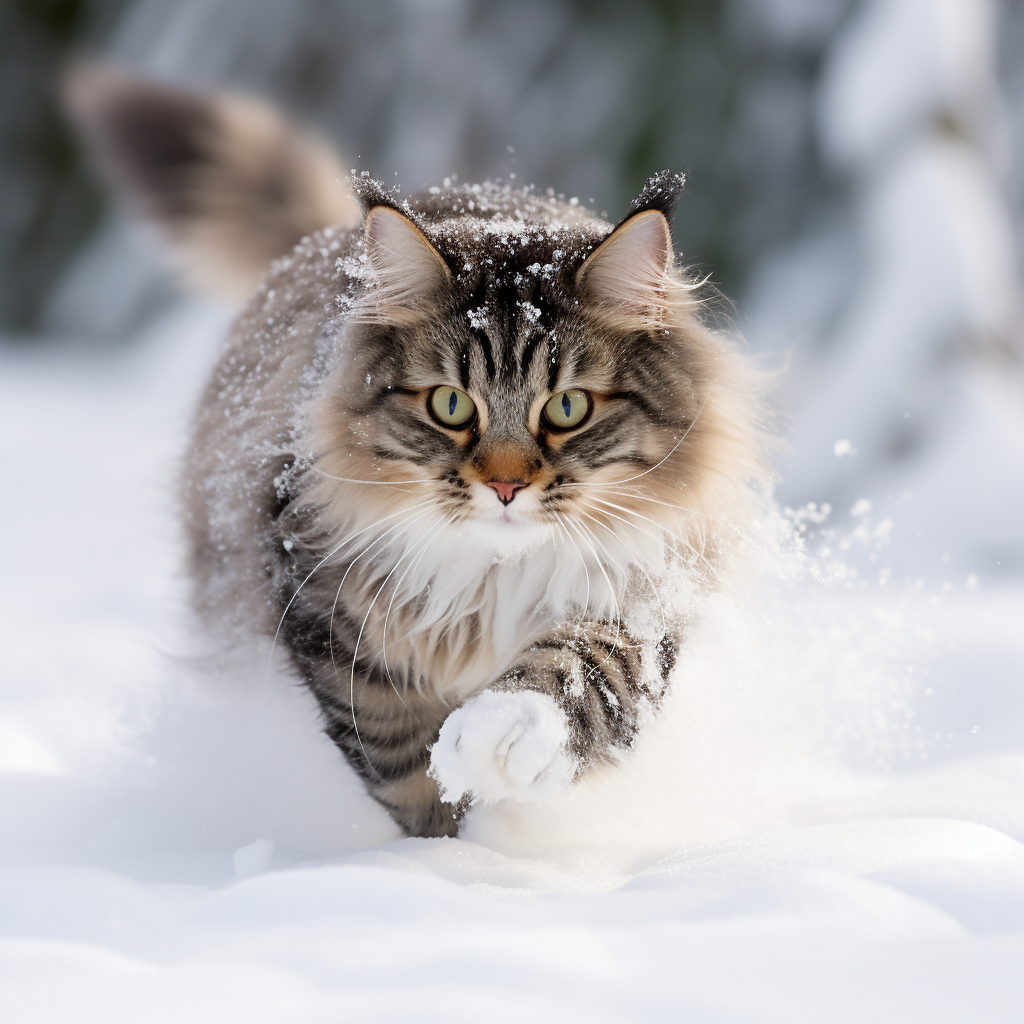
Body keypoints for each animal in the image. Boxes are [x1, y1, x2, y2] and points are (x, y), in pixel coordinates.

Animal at [70, 66, 770, 839]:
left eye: (567, 408)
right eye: (450, 405)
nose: (505, 487)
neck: (493, 577)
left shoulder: (644, 587)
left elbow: (583, 671)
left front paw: (503, 737)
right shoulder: (324, 603)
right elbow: (397, 756)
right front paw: (443, 843)